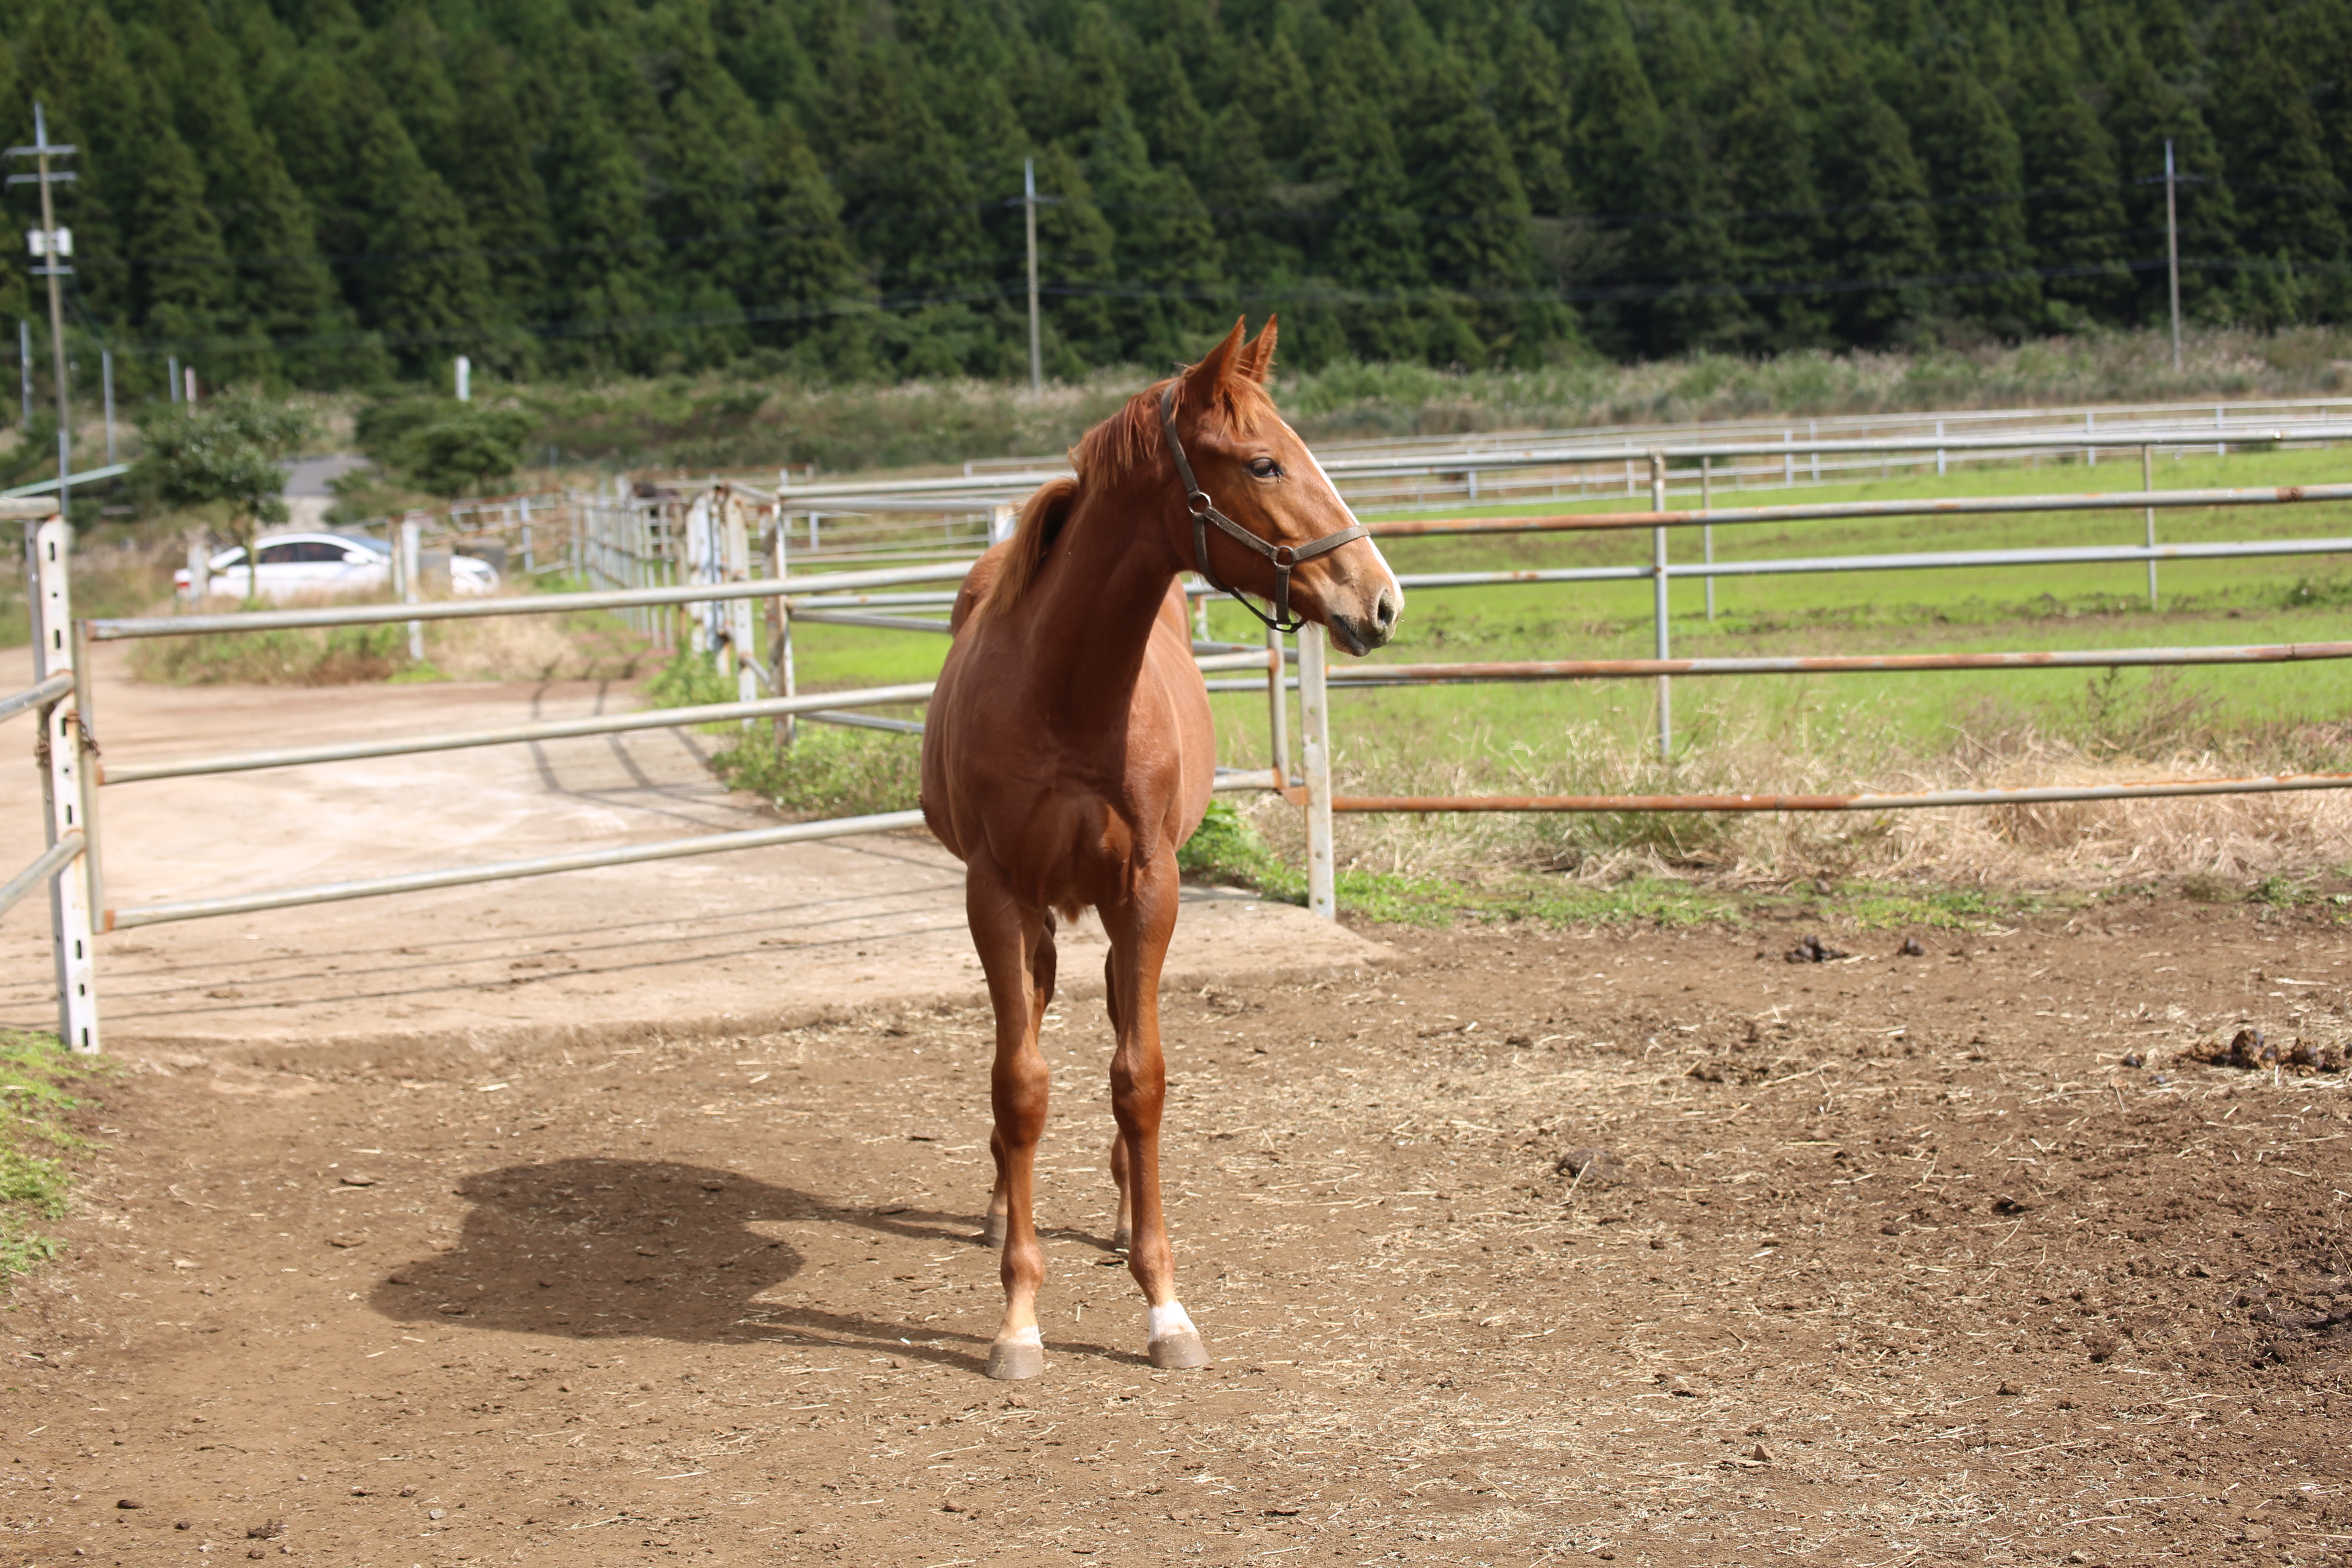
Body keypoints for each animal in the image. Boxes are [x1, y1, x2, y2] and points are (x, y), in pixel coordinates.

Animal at [917, 324, 1392, 1382]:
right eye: (1262, 462)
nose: (1381, 601)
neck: (1066, 691)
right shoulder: (996, 894)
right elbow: (1020, 1083)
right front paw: (1018, 1318)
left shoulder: (1149, 890)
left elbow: (1141, 1082)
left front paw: (1163, 1303)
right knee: (1034, 1030)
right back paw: (1002, 1204)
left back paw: (1122, 1208)